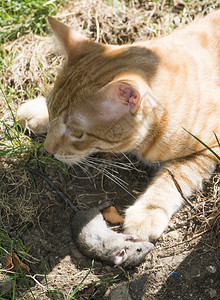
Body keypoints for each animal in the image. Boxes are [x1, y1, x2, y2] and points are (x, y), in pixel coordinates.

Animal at [18, 10, 220, 241]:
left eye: (77, 132)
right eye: (50, 111)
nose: (48, 150)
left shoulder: (209, 147)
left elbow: (174, 177)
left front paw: (146, 213)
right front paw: (36, 110)